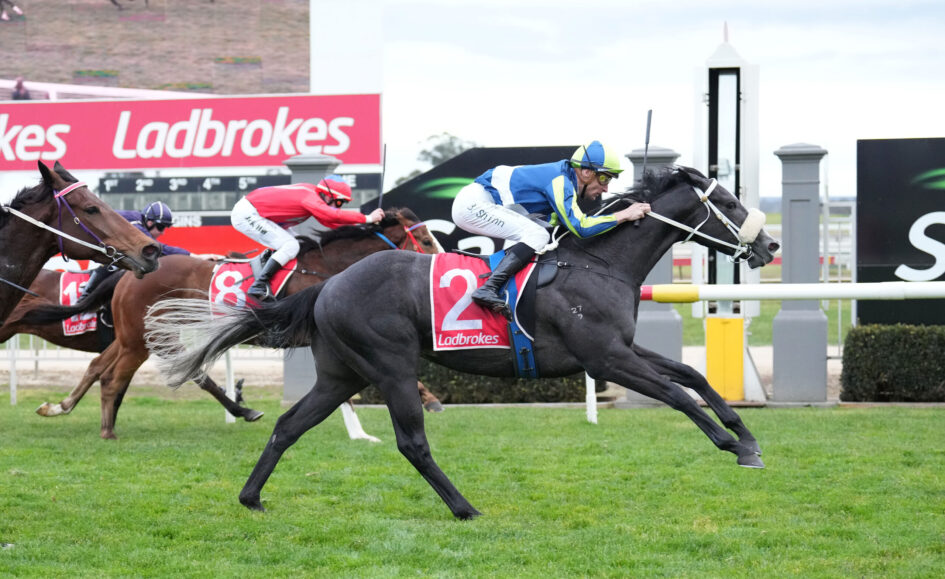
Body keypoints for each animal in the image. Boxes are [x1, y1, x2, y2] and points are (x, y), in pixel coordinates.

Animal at [13, 208, 442, 439]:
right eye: (424, 238)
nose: (441, 259)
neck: (323, 269)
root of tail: (128, 275)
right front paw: (375, 425)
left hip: (140, 336)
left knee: (102, 368)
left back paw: (61, 408)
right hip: (142, 338)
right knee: (115, 377)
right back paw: (107, 428)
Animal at [145, 166, 780, 519]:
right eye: (728, 204)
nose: (770, 246)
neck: (599, 262)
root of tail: (327, 285)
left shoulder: (621, 350)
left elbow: (692, 376)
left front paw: (748, 439)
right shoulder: (605, 357)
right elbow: (676, 396)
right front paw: (732, 444)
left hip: (342, 374)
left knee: (288, 425)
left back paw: (251, 498)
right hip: (391, 367)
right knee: (412, 443)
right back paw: (465, 508)